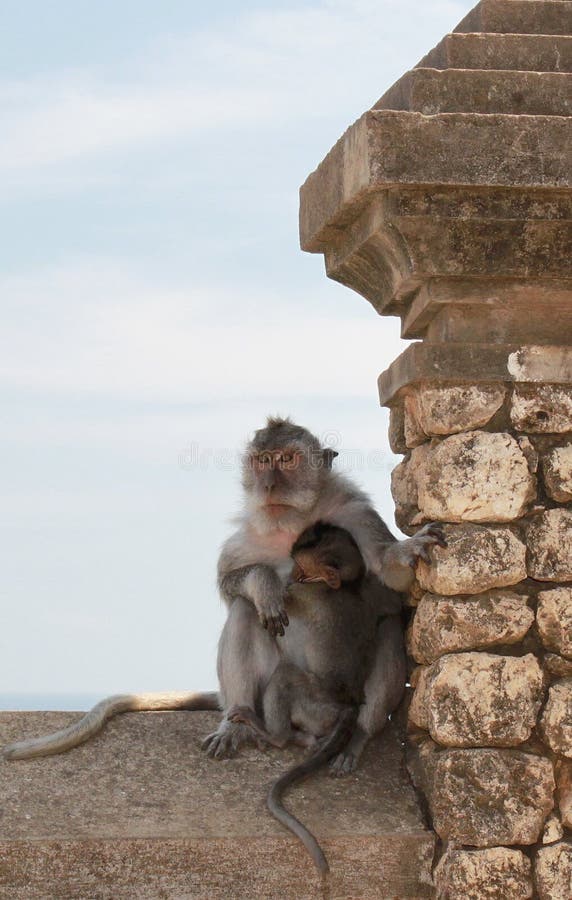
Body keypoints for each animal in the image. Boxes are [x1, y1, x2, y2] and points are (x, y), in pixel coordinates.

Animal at [203, 416, 444, 772]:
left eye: (286, 459)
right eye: (263, 460)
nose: (269, 485)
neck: (294, 523)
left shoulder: (356, 514)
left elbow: (390, 580)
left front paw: (404, 552)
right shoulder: (247, 536)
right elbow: (228, 581)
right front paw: (264, 583)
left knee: (388, 628)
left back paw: (358, 736)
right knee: (245, 608)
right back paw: (237, 723)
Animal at [228, 520, 384, 872]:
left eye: (302, 569)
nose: (290, 576)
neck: (343, 586)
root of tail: (349, 706)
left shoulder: (301, 595)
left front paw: (267, 590)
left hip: (316, 705)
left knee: (285, 676)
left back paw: (274, 735)